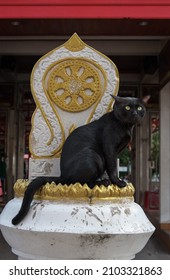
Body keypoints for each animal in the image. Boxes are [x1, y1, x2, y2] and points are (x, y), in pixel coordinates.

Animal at [11, 95, 148, 225]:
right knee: (83, 182)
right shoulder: (109, 148)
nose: (135, 113)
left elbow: (113, 166)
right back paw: (104, 182)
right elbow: (112, 167)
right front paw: (119, 183)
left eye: (139, 108)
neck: (126, 127)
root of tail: (62, 175)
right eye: (127, 108)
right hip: (93, 155)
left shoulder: (116, 152)